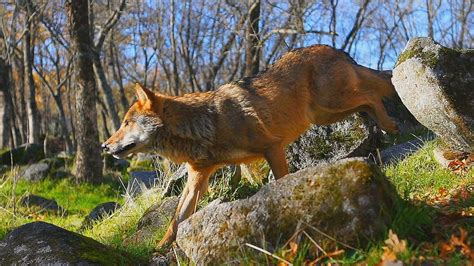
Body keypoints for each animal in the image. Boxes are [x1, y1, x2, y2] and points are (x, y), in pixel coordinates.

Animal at [102, 44, 398, 246]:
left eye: (126, 123)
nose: (104, 146)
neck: (205, 124)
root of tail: (337, 49)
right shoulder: (197, 178)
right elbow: (177, 218)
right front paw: (160, 248)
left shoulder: (273, 148)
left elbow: (281, 181)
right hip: (328, 113)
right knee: (369, 100)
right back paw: (385, 126)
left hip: (333, 104)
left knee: (373, 94)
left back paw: (390, 124)